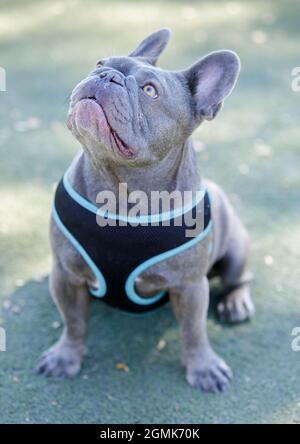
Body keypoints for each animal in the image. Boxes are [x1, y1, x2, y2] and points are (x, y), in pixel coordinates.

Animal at [36, 28, 254, 392]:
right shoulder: (65, 274)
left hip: (236, 249)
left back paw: (236, 303)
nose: (107, 76)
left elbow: (194, 331)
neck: (121, 189)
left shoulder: (190, 286)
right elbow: (73, 321)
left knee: (238, 278)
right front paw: (65, 356)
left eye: (150, 90)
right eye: (100, 63)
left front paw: (204, 367)